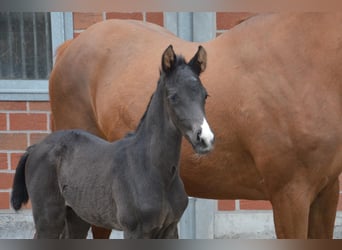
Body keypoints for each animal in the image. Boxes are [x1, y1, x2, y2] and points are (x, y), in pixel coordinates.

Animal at [10, 46, 214, 239]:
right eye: (173, 96)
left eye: (205, 95)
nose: (205, 138)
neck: (154, 170)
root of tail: (35, 147)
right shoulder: (135, 230)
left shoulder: (170, 229)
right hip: (48, 218)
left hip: (77, 215)